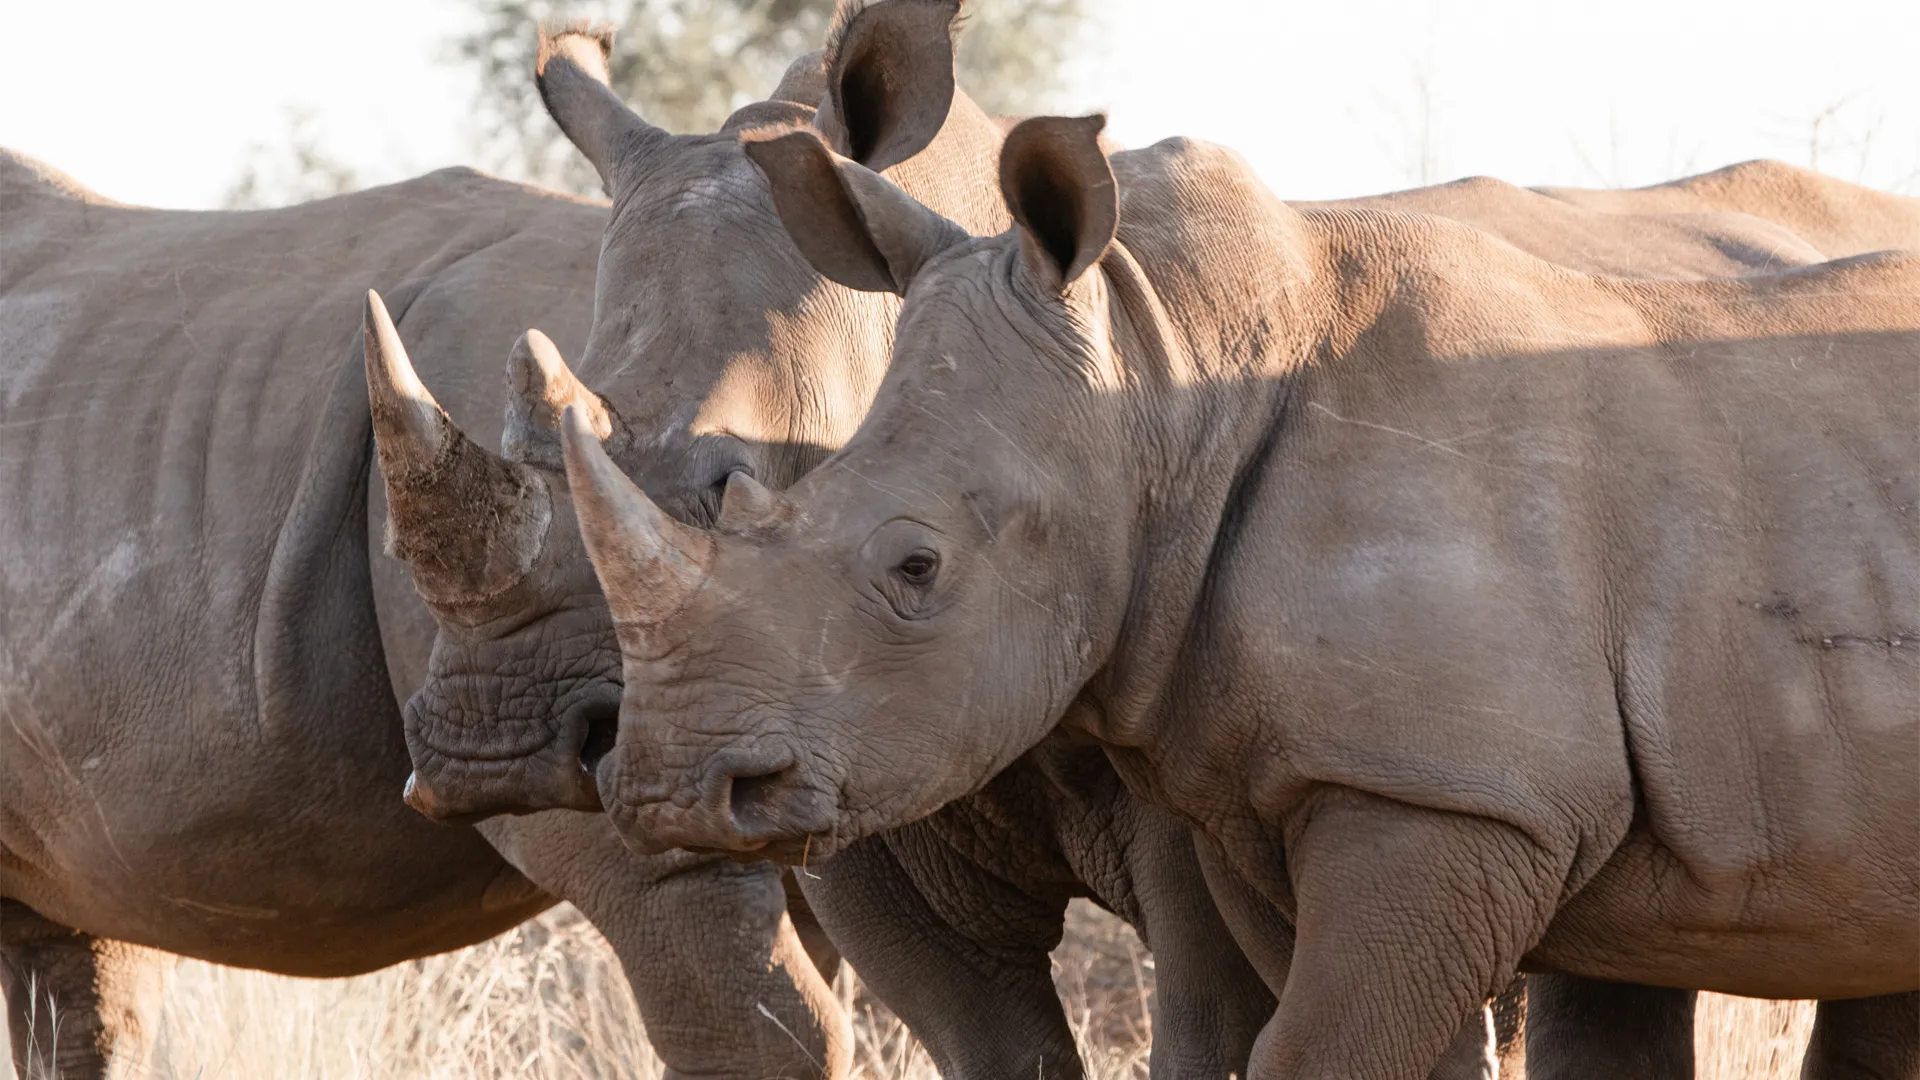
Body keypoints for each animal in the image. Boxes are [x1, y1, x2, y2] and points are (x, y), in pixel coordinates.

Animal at [557, 113, 1920, 1080]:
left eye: (915, 567)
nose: (668, 794)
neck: (1162, 384)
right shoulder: (1292, 788)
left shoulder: (1447, 793)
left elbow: (1317, 1051)